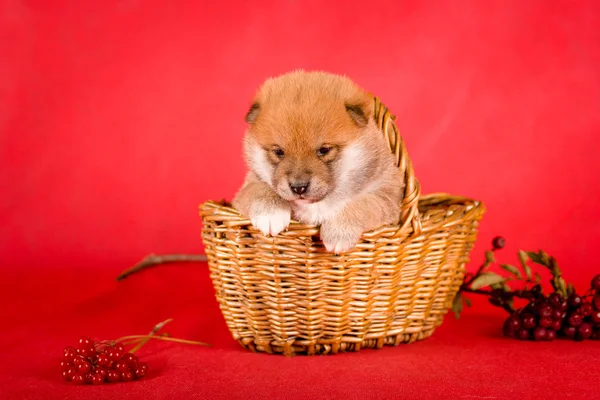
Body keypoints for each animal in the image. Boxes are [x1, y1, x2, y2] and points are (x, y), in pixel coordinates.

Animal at [232, 70, 406, 253]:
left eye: (324, 150)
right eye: (278, 152)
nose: (298, 187)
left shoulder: (388, 192)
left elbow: (364, 203)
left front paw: (339, 232)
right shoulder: (248, 186)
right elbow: (259, 189)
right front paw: (271, 213)